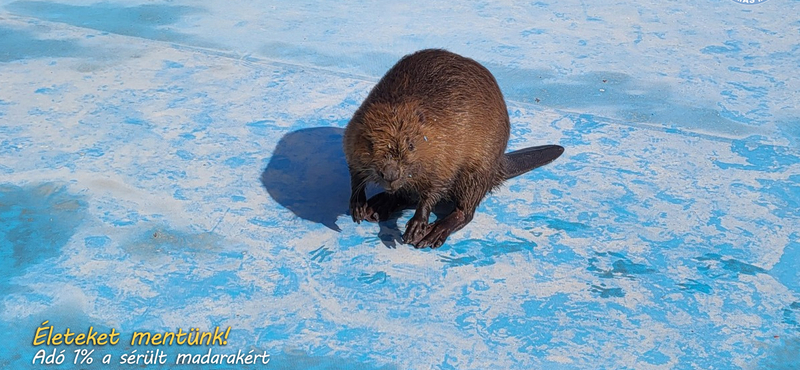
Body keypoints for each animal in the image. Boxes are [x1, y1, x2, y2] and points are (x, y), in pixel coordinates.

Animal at [344, 47, 564, 249]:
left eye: (411, 145)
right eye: (371, 144)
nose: (391, 174)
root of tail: (499, 167)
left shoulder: (446, 150)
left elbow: (436, 188)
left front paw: (417, 226)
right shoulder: (352, 133)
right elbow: (354, 171)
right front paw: (358, 204)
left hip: (479, 169)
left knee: (465, 210)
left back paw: (434, 231)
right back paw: (376, 206)